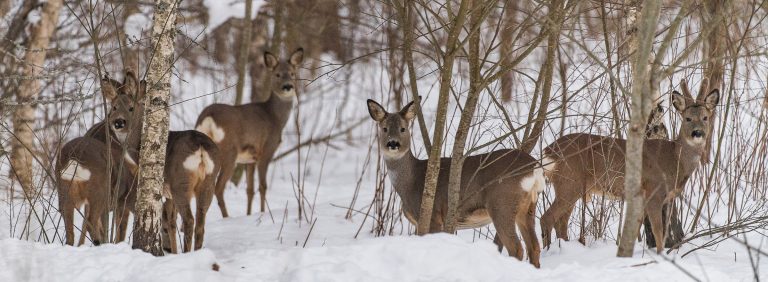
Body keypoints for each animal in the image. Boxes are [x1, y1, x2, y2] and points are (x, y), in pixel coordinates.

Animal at [89, 69, 224, 252]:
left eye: (131, 108)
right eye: (114, 107)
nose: (118, 122)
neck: (137, 148)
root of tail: (201, 149)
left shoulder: (166, 189)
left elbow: (167, 222)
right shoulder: (168, 194)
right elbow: (171, 223)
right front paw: (173, 251)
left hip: (181, 183)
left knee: (189, 220)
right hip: (208, 182)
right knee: (201, 222)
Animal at [194, 47, 304, 217]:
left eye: (292, 73)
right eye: (277, 74)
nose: (288, 86)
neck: (274, 117)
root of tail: (208, 117)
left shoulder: (250, 159)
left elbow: (250, 190)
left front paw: (249, 214)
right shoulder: (267, 150)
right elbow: (263, 186)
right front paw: (263, 213)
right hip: (229, 152)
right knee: (218, 188)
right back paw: (227, 217)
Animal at [368, 99, 544, 268]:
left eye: (403, 129)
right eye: (384, 128)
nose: (393, 143)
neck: (411, 182)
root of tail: (534, 167)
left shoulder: (433, 217)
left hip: (502, 204)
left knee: (517, 248)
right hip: (528, 207)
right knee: (534, 246)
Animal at [540, 79, 720, 253]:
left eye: (705, 117)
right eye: (687, 118)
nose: (697, 133)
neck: (675, 160)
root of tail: (548, 151)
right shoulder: (653, 192)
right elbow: (658, 231)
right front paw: (660, 255)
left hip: (572, 186)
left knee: (561, 222)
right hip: (569, 182)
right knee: (547, 218)